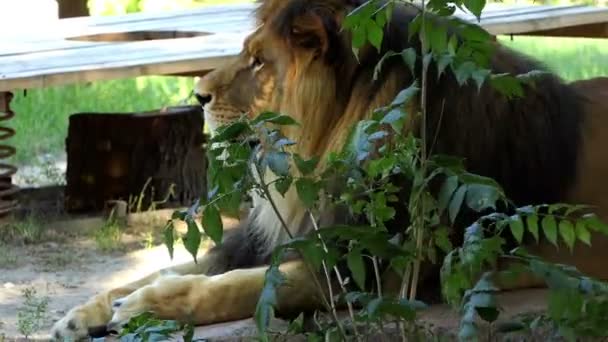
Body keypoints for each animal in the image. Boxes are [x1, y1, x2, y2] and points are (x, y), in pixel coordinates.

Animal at [51, 0, 608, 340]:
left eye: (259, 62)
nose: (197, 95)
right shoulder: (281, 236)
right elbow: (169, 269)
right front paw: (85, 313)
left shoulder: (369, 268)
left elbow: (226, 287)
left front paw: (143, 306)